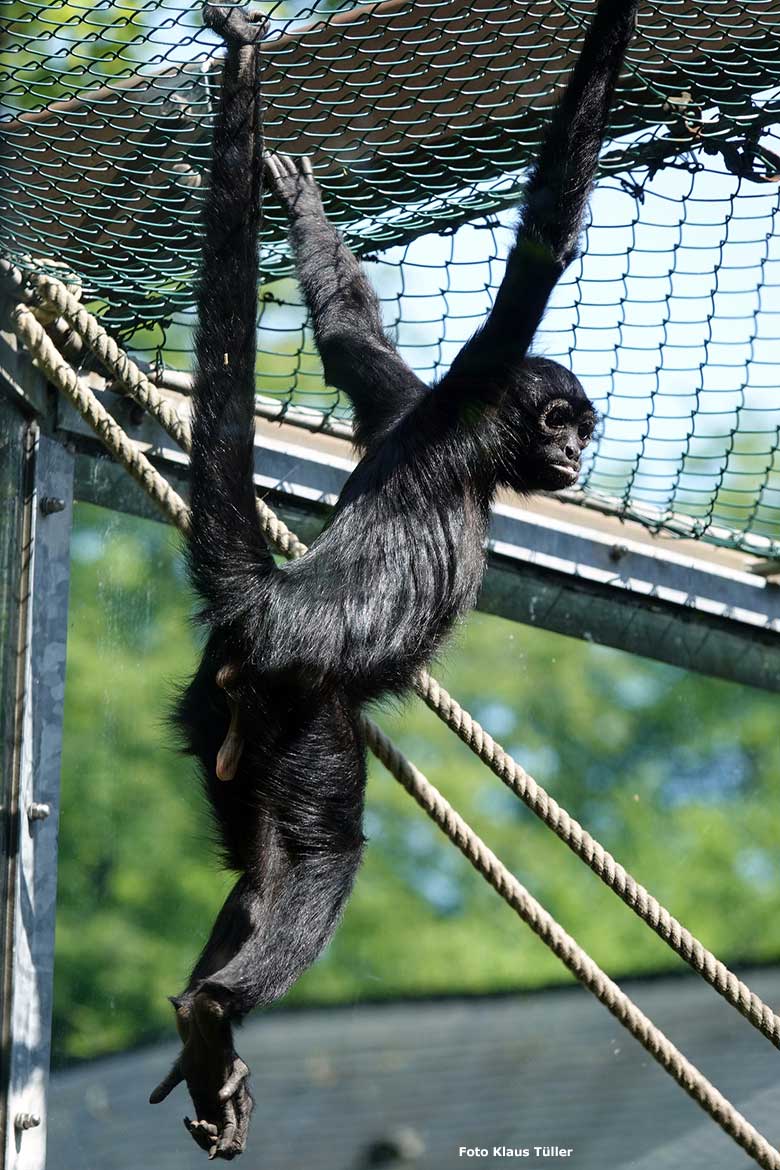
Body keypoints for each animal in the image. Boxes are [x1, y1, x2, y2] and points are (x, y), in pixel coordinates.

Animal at [150, 0, 640, 1151]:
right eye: (563, 420)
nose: (577, 453)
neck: (474, 441)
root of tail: (271, 603)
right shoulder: (472, 376)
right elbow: (545, 235)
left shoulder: (405, 395)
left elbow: (347, 340)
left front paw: (300, 203)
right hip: (300, 710)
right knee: (324, 851)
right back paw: (212, 1013)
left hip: (220, 718)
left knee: (258, 872)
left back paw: (207, 1047)